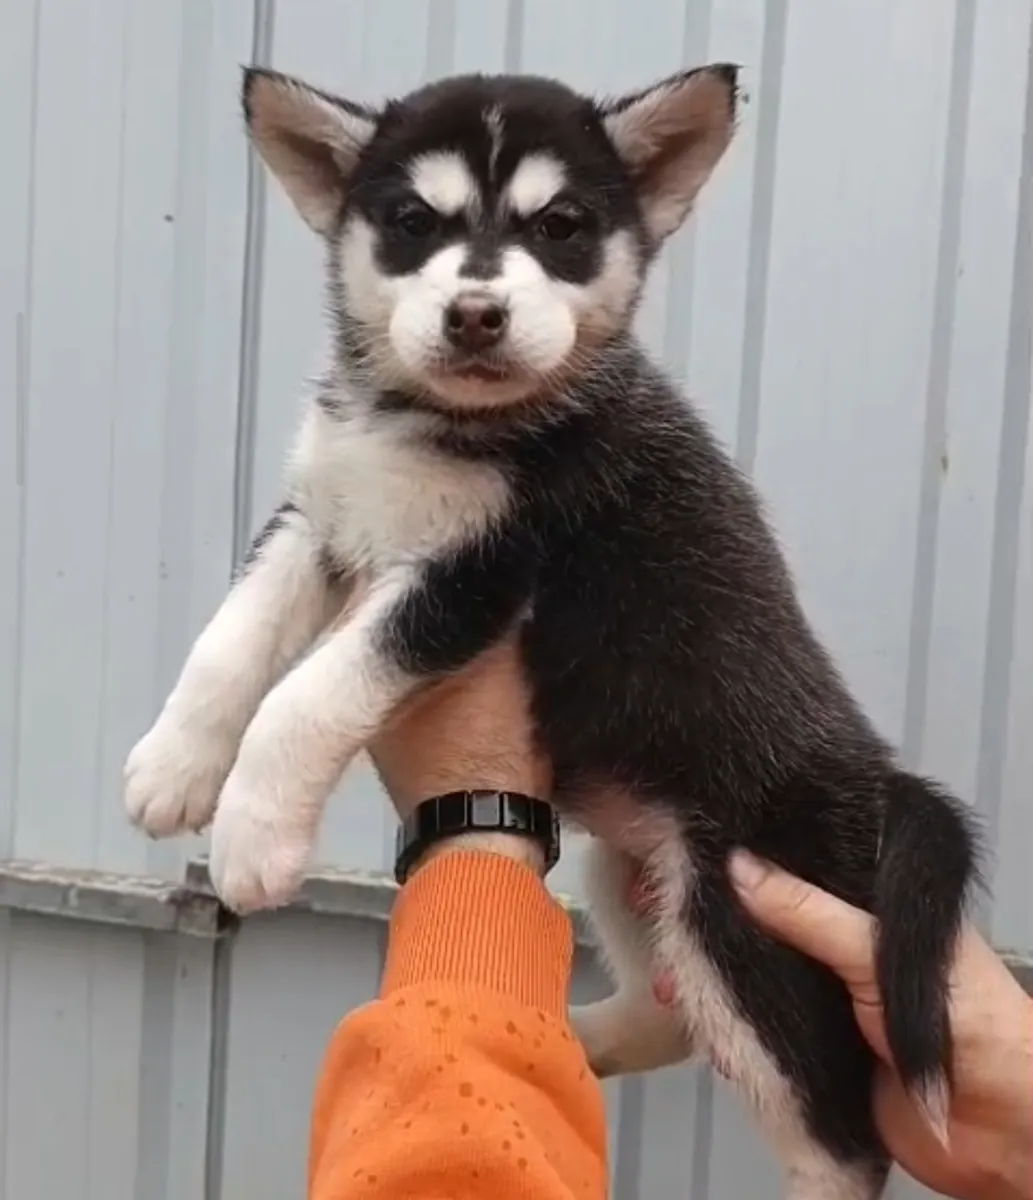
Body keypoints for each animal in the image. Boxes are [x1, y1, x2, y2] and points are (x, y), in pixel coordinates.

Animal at [124, 62, 978, 1198]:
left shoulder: (479, 571)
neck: (433, 423)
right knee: (675, 1019)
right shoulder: (322, 518)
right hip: (635, 869)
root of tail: (881, 782)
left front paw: (254, 831)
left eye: (561, 227)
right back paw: (574, 1039)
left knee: (842, 1142)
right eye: (411, 222)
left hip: (742, 920)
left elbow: (310, 692)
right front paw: (172, 766)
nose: (476, 313)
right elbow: (229, 640)